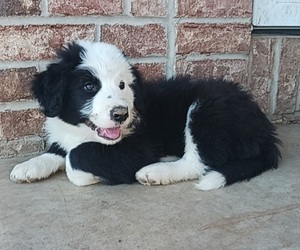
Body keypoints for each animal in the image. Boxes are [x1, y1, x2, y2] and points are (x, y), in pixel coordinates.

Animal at [9, 40, 282, 189]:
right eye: (88, 86)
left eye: (122, 85)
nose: (120, 114)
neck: (84, 131)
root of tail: (266, 130)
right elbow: (59, 150)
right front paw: (28, 167)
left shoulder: (139, 147)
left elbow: (75, 158)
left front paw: (94, 176)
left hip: (208, 111)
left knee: (199, 163)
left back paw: (156, 171)